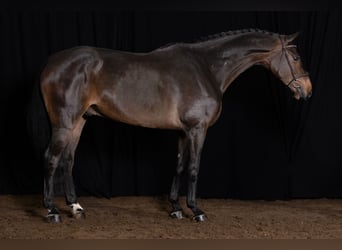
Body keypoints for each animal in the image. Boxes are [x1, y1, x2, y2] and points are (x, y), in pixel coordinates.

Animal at [36, 28, 312, 223]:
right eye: (296, 57)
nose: (307, 90)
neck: (206, 67)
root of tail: (51, 62)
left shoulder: (183, 131)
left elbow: (179, 166)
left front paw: (176, 208)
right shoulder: (198, 129)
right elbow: (193, 168)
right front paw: (196, 210)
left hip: (79, 122)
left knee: (67, 160)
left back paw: (75, 207)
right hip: (64, 123)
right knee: (51, 158)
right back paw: (52, 211)